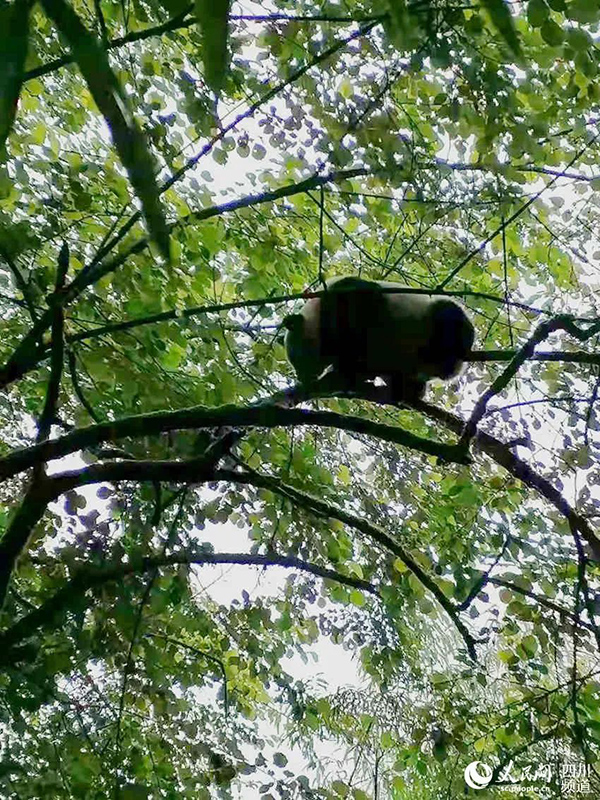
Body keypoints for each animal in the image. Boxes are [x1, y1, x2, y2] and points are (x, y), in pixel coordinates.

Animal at [284, 276, 476, 400]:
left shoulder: (345, 296)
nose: (302, 378)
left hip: (434, 318)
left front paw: (344, 370)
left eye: (297, 358)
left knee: (448, 316)